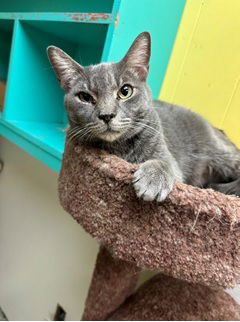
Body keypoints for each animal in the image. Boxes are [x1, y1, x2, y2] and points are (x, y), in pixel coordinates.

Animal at [47, 30, 240, 201]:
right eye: (85, 97)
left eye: (125, 91)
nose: (107, 115)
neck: (120, 150)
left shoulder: (168, 158)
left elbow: (165, 162)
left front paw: (153, 178)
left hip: (221, 155)